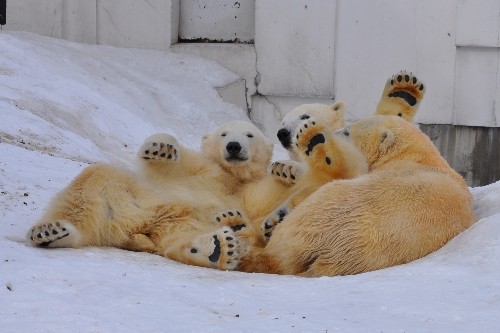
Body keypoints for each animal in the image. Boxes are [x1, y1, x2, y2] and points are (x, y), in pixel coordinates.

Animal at [237, 115, 472, 276]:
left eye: (347, 132)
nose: (336, 131)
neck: (419, 156)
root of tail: (331, 251)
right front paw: (284, 169)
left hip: (328, 205)